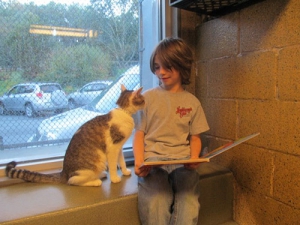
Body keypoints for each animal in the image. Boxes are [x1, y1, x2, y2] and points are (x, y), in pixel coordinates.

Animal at [5, 84, 145, 186]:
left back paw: (100, 175)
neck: (124, 112)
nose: (145, 102)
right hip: (95, 163)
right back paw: (95, 181)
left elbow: (121, 161)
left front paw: (125, 171)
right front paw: (115, 178)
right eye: (142, 99)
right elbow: (113, 165)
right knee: (72, 181)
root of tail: (63, 172)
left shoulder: (119, 147)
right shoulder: (113, 148)